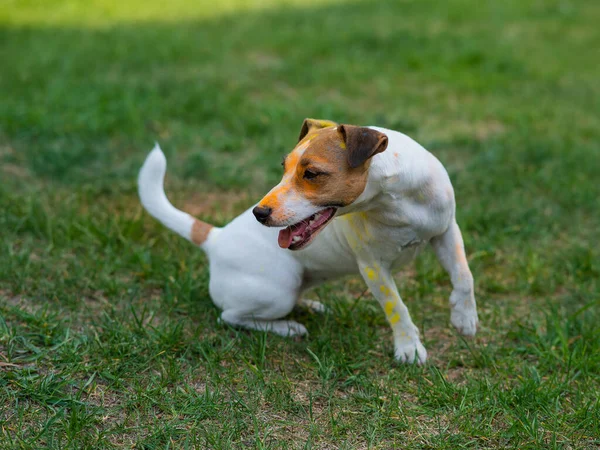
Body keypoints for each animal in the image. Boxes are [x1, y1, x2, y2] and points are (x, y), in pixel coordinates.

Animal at [139, 118, 478, 362]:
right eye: (283, 167)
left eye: (312, 174)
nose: (259, 213)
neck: (395, 199)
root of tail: (216, 238)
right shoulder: (373, 267)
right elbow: (397, 306)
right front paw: (409, 347)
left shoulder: (447, 231)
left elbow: (464, 275)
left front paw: (465, 318)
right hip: (279, 290)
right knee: (231, 316)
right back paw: (288, 327)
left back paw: (312, 306)